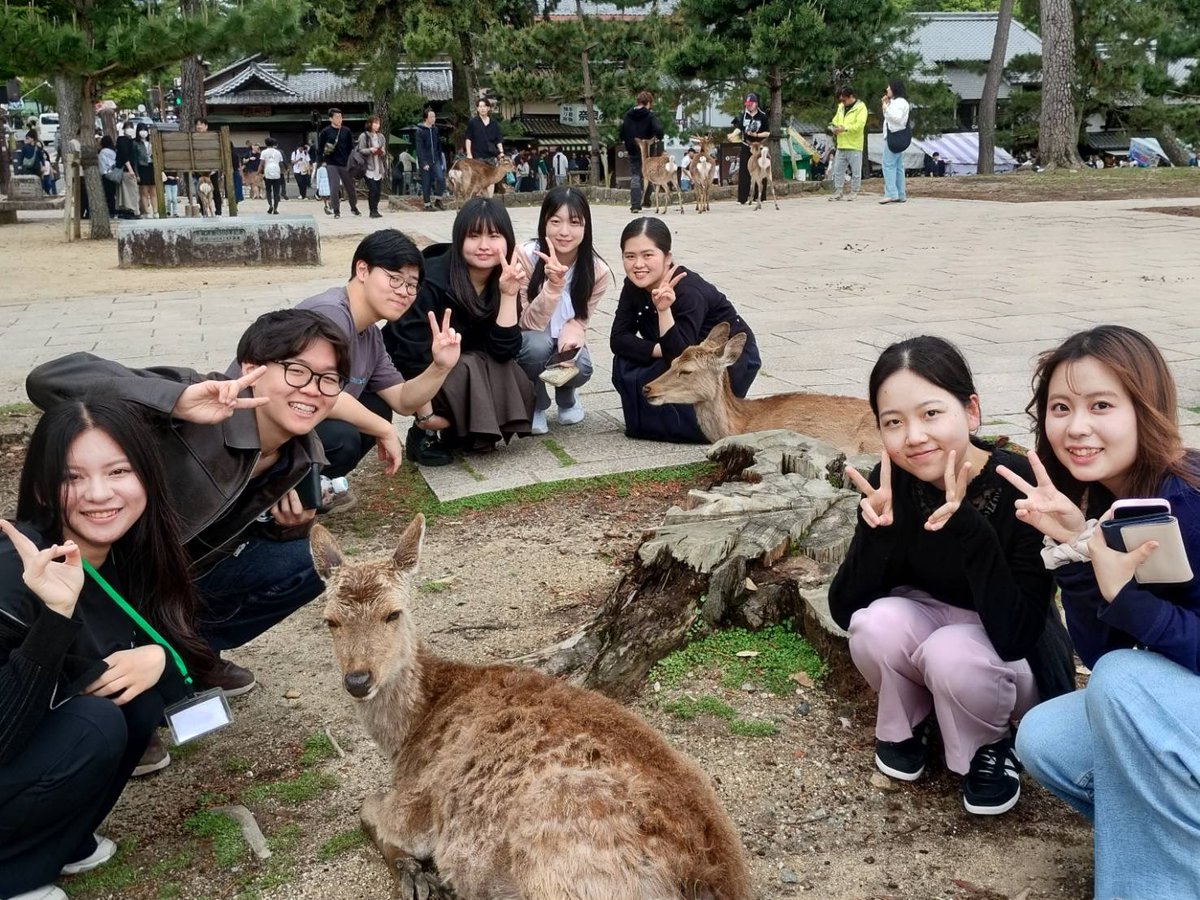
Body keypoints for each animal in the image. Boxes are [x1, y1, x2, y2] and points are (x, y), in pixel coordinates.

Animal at [313, 517, 752, 900]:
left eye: (393, 612)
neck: (409, 734)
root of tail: (709, 881)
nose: (358, 680)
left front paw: (419, 878)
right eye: (330, 621)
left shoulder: (416, 802)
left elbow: (366, 810)